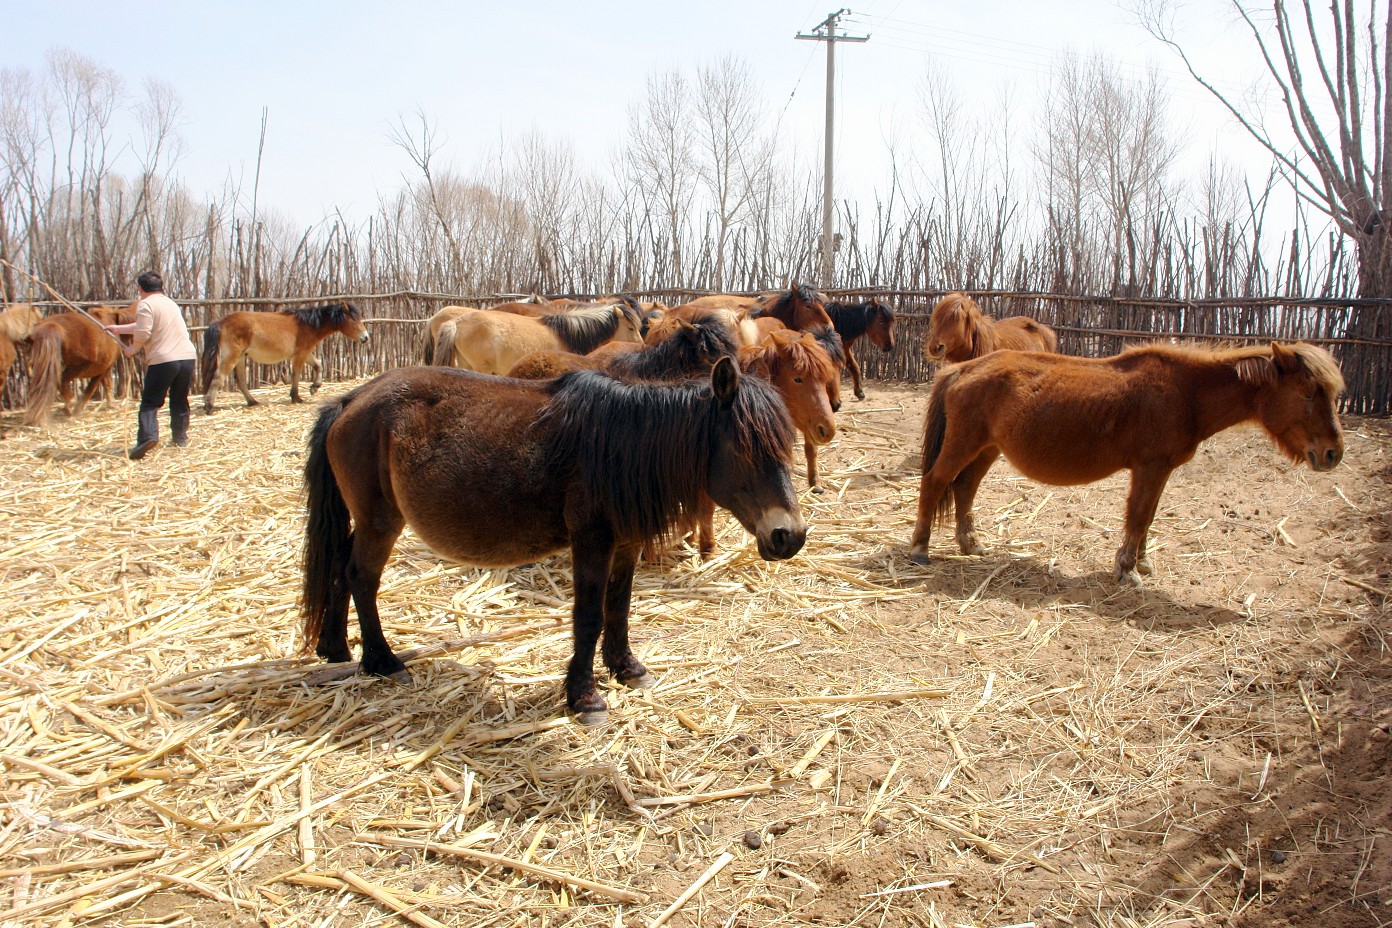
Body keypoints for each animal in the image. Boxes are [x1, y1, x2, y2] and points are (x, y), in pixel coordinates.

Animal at [303, 358, 807, 723]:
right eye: (745, 447)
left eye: (784, 446)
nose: (790, 536)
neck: (621, 446)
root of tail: (350, 399)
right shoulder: (591, 542)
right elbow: (588, 617)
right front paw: (585, 697)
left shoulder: (625, 544)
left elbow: (619, 608)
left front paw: (627, 669)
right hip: (380, 520)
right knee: (361, 576)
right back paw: (382, 661)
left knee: (341, 570)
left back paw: (335, 649)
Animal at [907, 340, 1341, 587]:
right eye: (1307, 392)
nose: (1333, 453)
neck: (1187, 393)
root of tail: (961, 368)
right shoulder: (1150, 467)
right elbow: (1138, 516)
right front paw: (1128, 570)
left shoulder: (1160, 470)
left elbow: (1147, 518)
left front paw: (1141, 564)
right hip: (964, 444)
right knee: (935, 482)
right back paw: (920, 549)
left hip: (987, 449)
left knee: (965, 488)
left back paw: (970, 544)